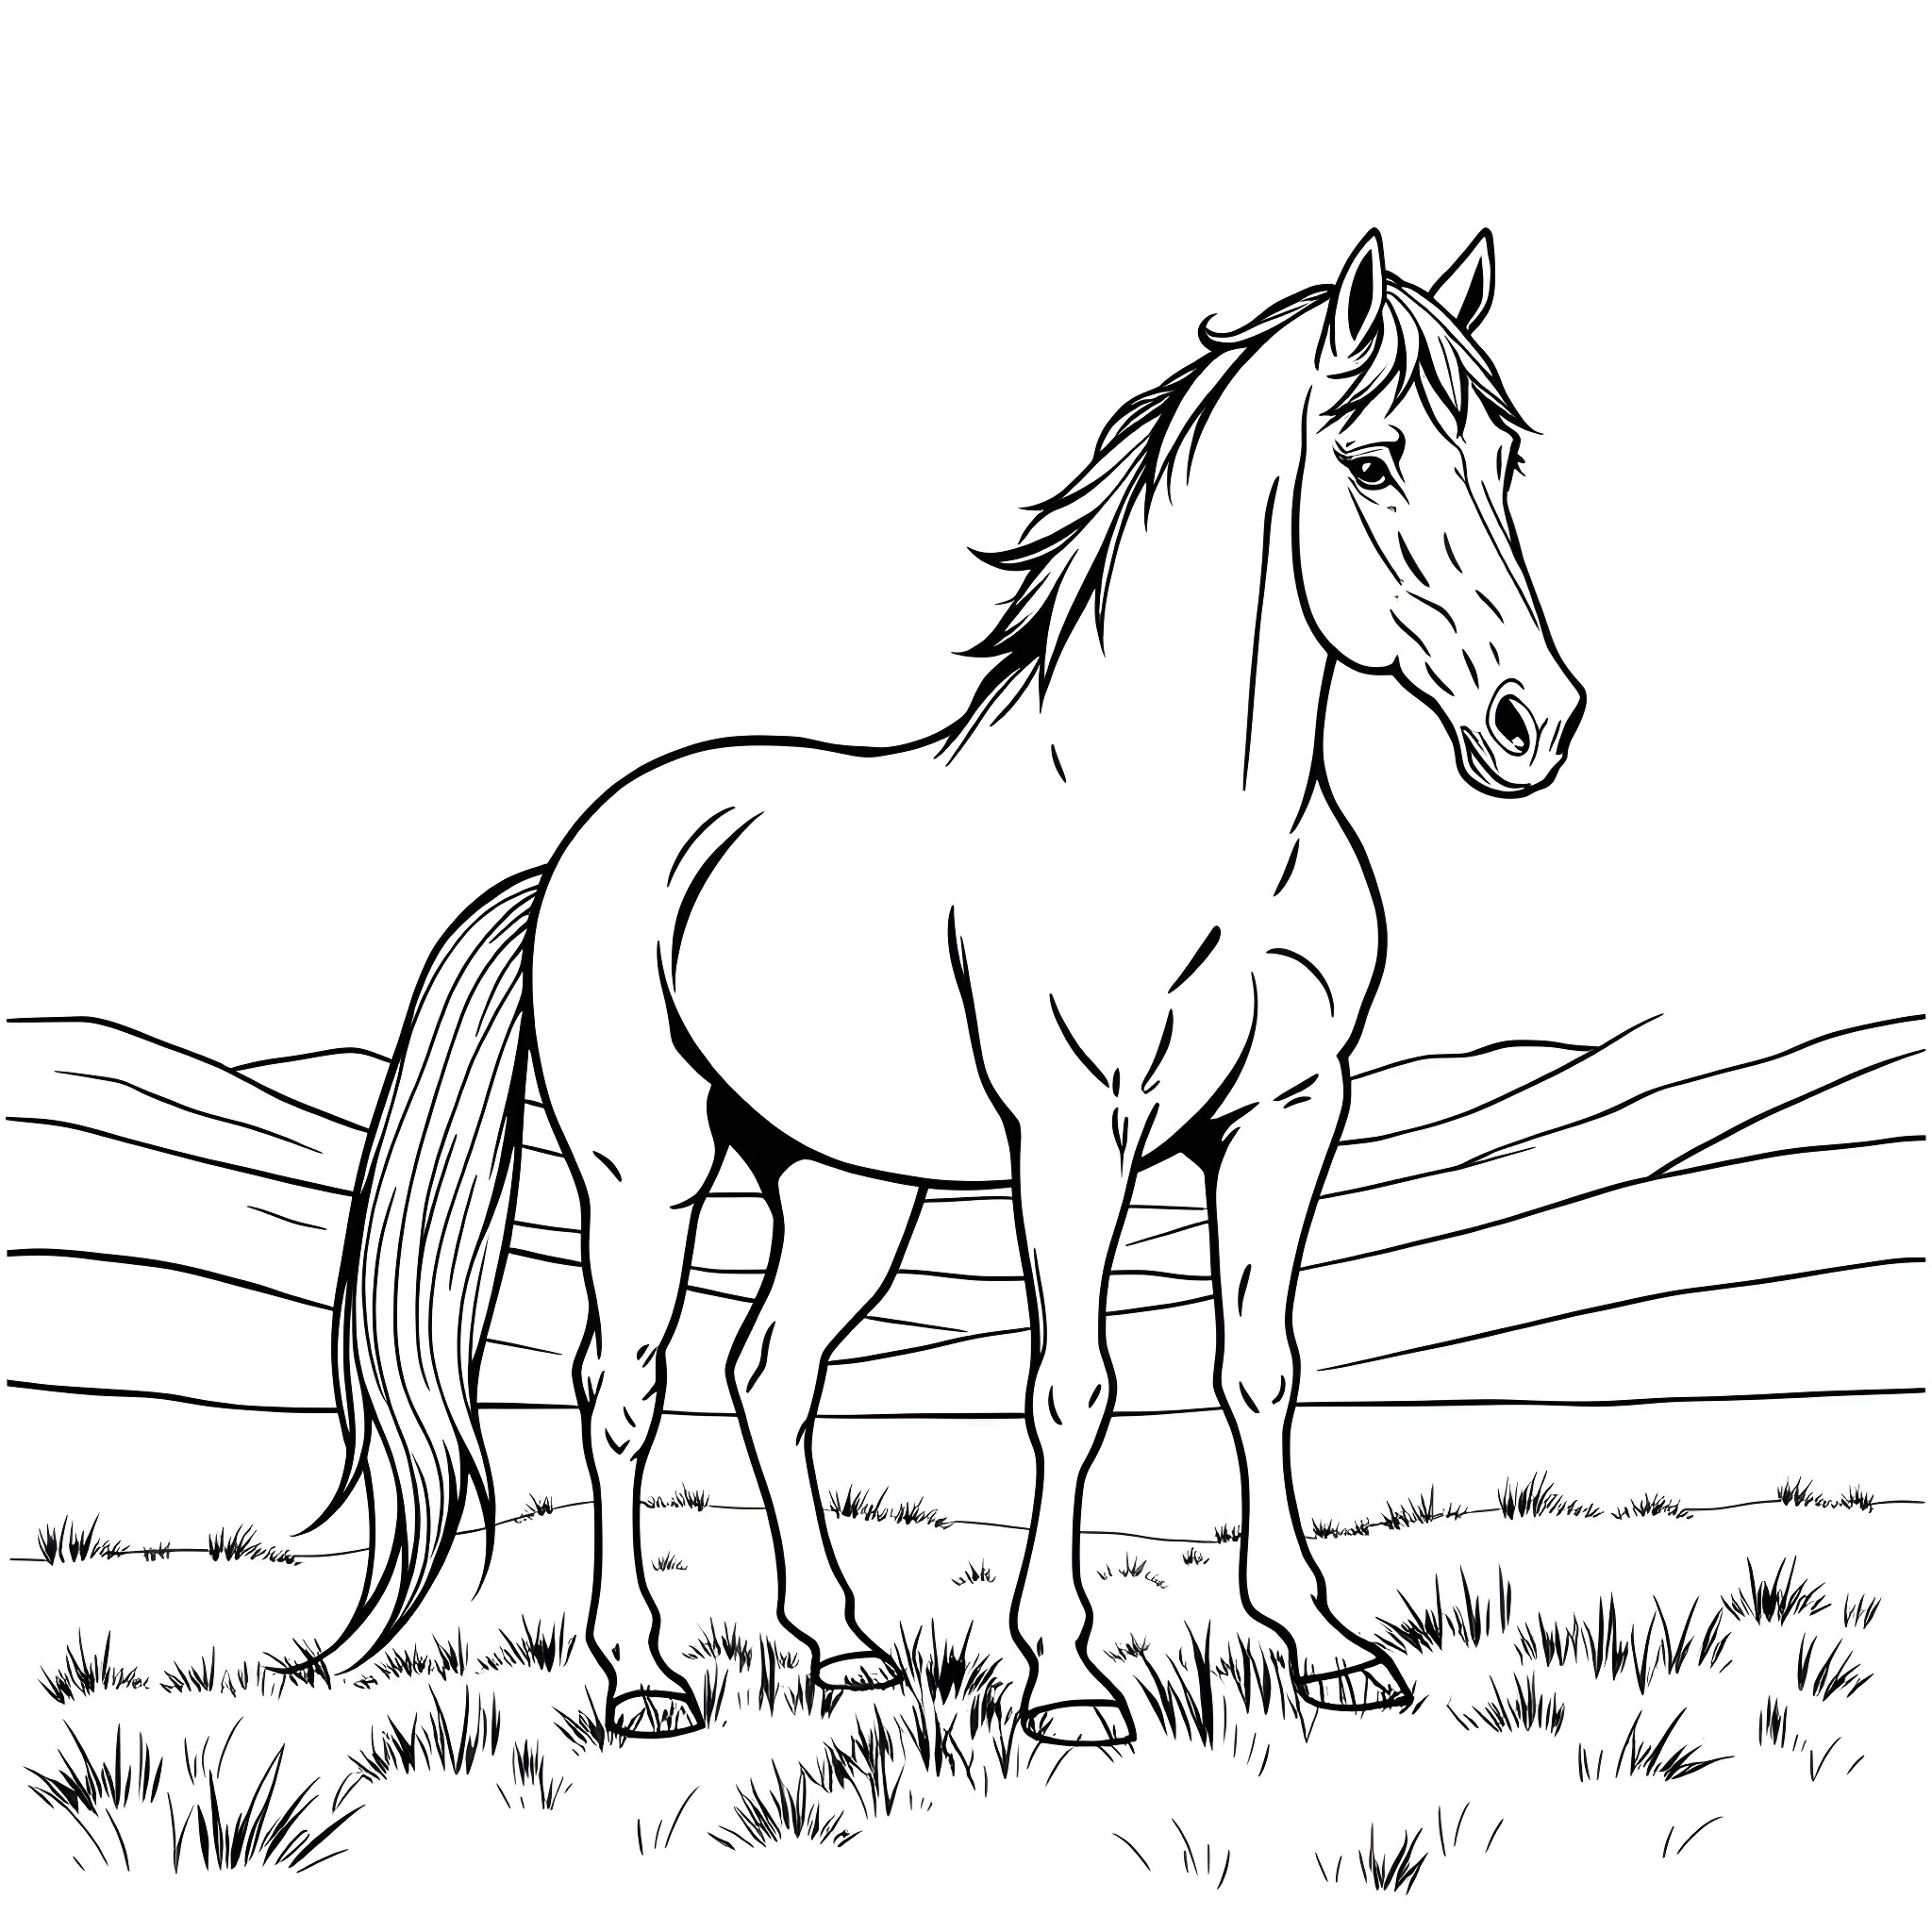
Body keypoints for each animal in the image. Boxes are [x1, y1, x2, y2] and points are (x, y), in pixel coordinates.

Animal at [319, 229, 1584, 1747]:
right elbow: (1072, 1388)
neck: (1186, 827)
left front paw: (1327, 1647)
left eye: (1503, 461)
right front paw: (1069, 1680)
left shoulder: (1285, 1119)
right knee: (620, 1391)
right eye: (1375, 459)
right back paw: (641, 1675)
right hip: (647, 1173)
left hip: (845, 1190)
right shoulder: (1076, 1136)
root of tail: (574, 854)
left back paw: (843, 1649)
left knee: (770, 1376)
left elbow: (1262, 1369)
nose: (1533, 721)